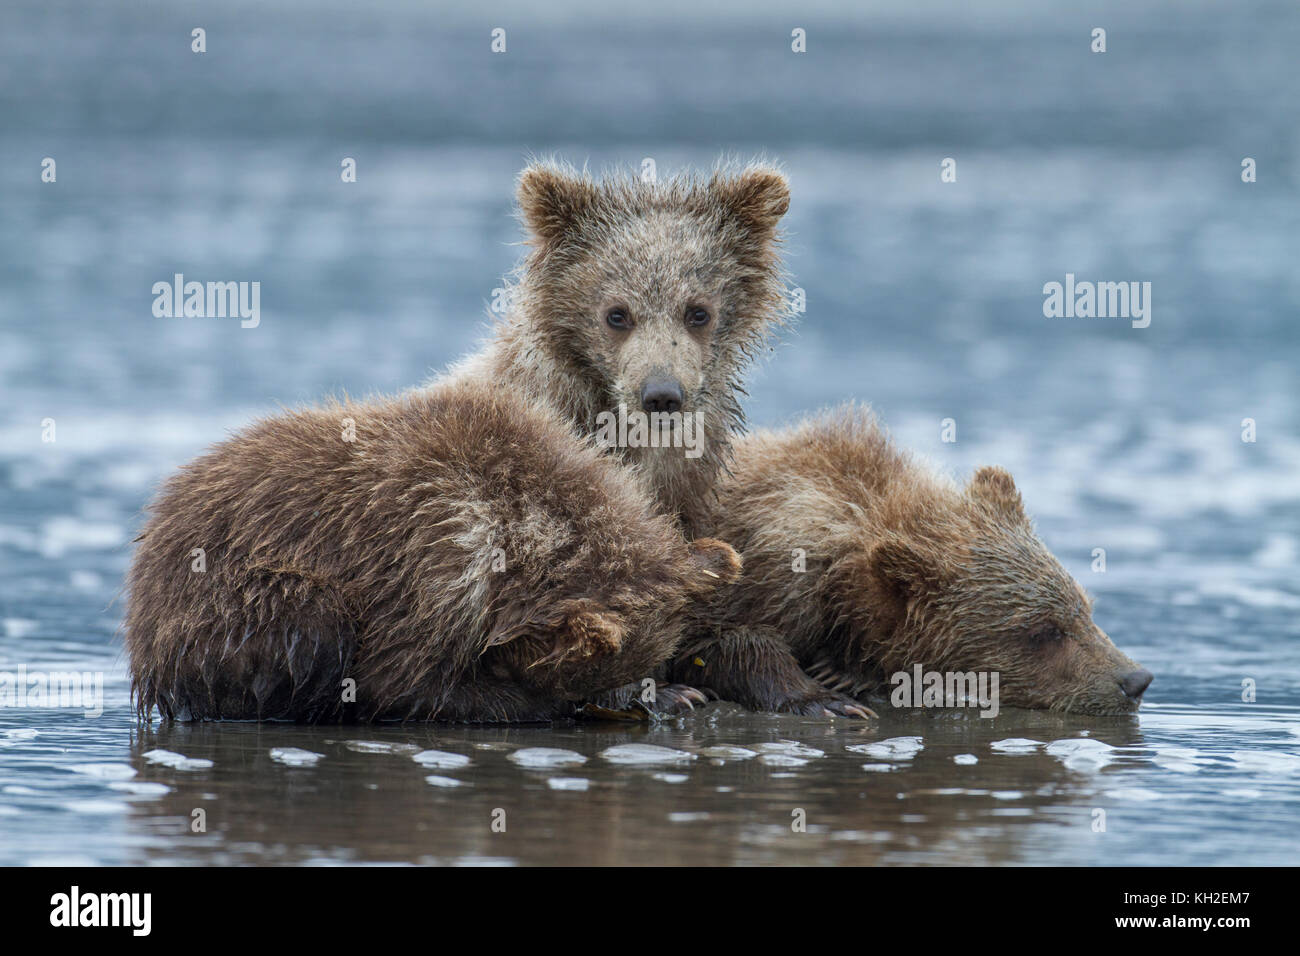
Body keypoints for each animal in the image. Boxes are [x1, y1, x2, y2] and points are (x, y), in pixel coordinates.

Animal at [126, 380, 740, 722]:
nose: (620, 693)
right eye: (580, 677)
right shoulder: (427, 559)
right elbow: (400, 681)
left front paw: (675, 693)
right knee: (309, 626)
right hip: (230, 603)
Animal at [672, 405, 1153, 717]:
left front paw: (848, 674)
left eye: (1085, 608)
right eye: (1044, 631)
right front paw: (828, 699)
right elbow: (720, 644)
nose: (1134, 680)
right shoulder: (736, 575)